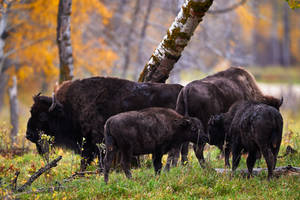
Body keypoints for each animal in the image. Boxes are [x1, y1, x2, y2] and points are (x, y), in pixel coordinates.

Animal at [25, 77, 182, 170]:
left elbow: (91, 158)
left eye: (43, 116)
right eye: (31, 111)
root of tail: (181, 89)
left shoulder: (96, 141)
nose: (29, 135)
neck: (68, 108)